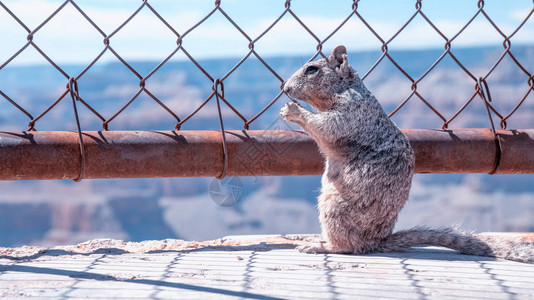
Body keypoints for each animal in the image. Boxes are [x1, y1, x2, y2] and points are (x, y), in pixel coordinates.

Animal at [282, 44, 532, 262]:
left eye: (311, 69)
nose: (285, 89)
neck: (344, 89)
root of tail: (375, 242)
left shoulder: (350, 112)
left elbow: (326, 128)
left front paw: (293, 110)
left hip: (334, 209)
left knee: (348, 246)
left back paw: (320, 245)